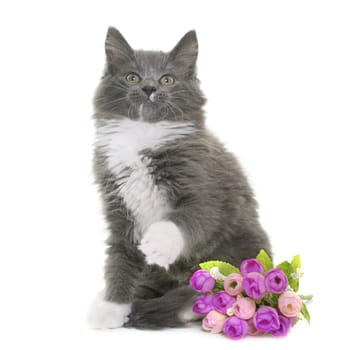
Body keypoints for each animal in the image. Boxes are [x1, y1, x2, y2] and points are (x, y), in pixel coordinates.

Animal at [89, 26, 272, 328]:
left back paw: (192, 305)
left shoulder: (205, 192)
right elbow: (120, 258)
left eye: (167, 79)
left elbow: (182, 220)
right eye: (132, 77)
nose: (149, 88)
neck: (143, 137)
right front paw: (112, 307)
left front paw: (157, 243)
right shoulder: (117, 206)